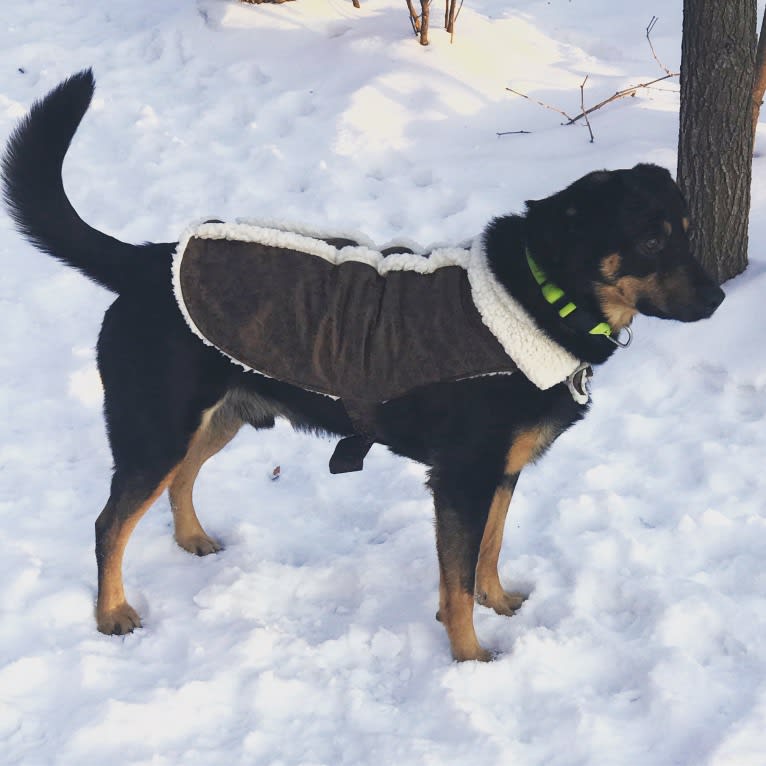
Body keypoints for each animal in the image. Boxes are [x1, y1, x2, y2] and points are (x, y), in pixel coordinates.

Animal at [1, 69, 728, 664]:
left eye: (687, 232)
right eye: (651, 239)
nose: (720, 297)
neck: (544, 297)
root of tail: (146, 259)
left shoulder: (500, 473)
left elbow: (487, 553)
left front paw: (498, 603)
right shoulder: (461, 478)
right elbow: (456, 579)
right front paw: (470, 658)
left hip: (219, 416)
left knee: (180, 480)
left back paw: (192, 539)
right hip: (155, 428)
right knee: (110, 523)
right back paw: (112, 613)